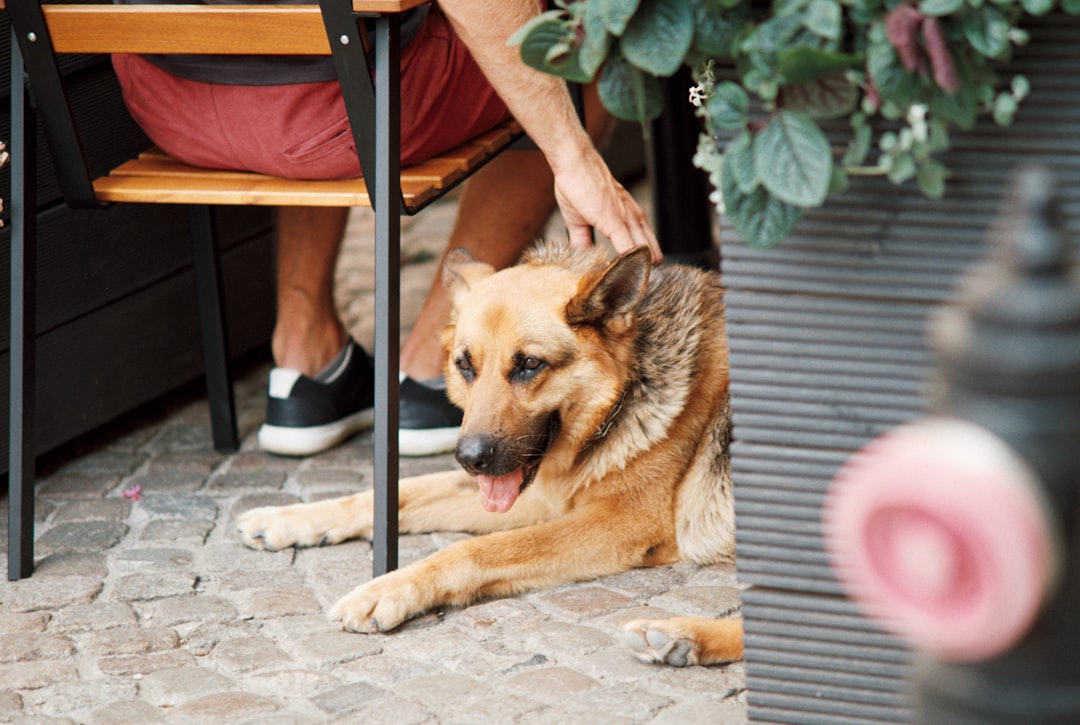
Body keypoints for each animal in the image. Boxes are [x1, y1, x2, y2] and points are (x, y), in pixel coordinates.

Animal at [236, 240, 743, 665]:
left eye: (530, 365)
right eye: (465, 365)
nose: (469, 459)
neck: (622, 395)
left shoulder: (619, 523)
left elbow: (472, 551)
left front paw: (386, 589)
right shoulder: (535, 496)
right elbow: (392, 493)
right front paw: (286, 519)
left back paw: (680, 636)